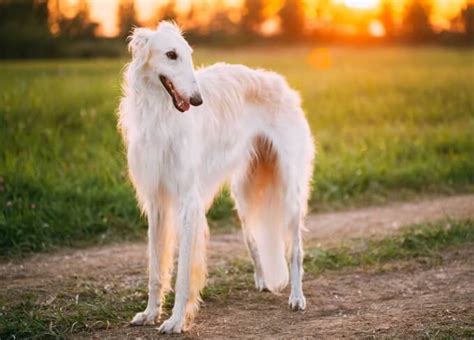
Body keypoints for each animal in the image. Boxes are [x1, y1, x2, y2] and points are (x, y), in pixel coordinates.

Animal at [117, 21, 314, 334]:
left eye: (188, 54)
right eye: (171, 54)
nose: (197, 100)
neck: (161, 115)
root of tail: (281, 84)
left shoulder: (188, 202)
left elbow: (183, 272)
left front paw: (175, 320)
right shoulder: (156, 201)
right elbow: (156, 269)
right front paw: (150, 313)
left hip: (290, 192)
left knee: (295, 251)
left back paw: (297, 297)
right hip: (244, 195)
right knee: (253, 241)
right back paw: (262, 280)